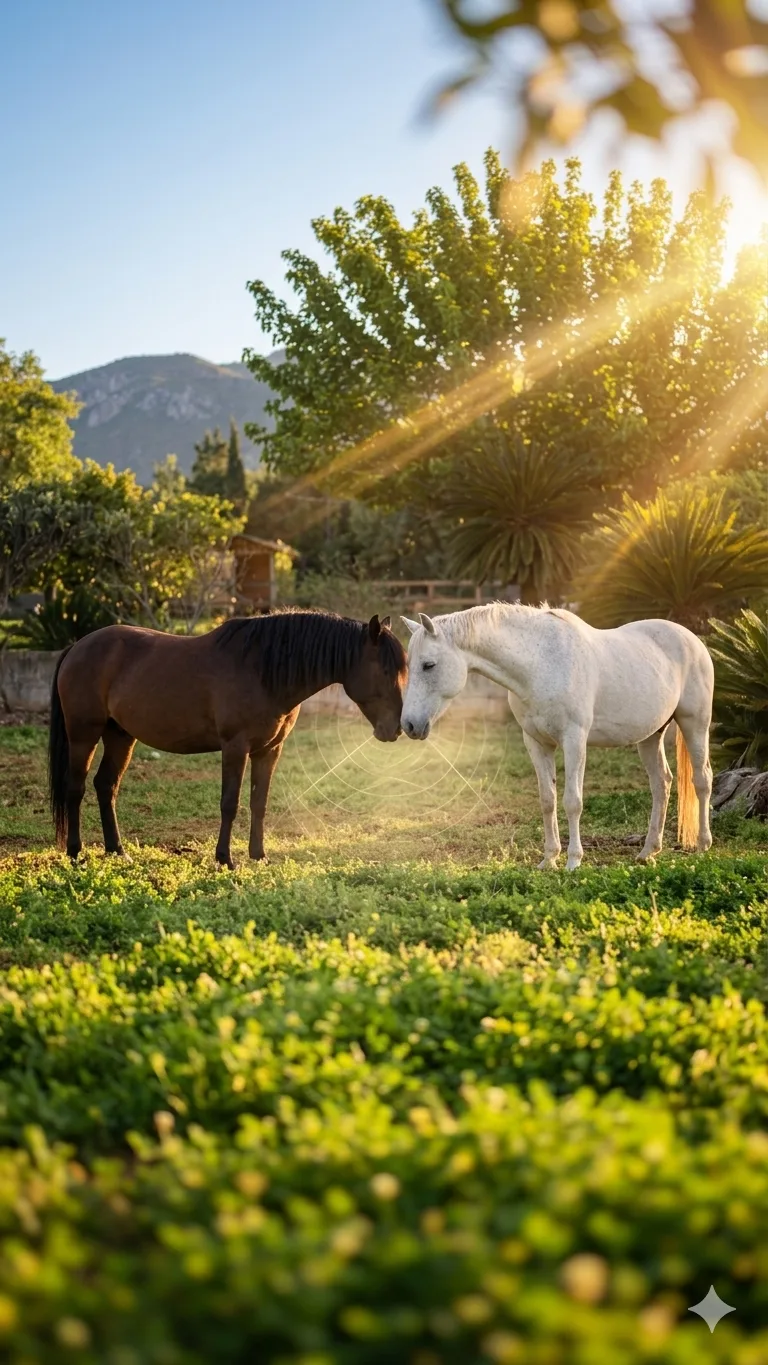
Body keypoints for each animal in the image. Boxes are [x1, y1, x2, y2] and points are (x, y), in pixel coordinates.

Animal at [49, 610, 406, 868]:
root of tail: (77, 647)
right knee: (76, 788)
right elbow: (230, 803)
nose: (396, 729)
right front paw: (225, 859)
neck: (263, 671)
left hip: (121, 736)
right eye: (386, 671)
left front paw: (259, 856)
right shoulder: (235, 747)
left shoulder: (269, 750)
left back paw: (117, 850)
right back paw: (75, 853)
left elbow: (259, 802)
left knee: (106, 786)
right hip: (83, 734)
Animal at [399, 605, 714, 869]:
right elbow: (547, 799)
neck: (540, 664)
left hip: (695, 724)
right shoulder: (536, 743)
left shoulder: (574, 740)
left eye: (429, 665)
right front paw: (549, 859)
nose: (410, 725)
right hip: (650, 736)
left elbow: (572, 801)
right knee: (662, 783)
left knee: (702, 779)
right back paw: (649, 851)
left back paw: (702, 844)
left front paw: (573, 861)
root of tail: (693, 640)